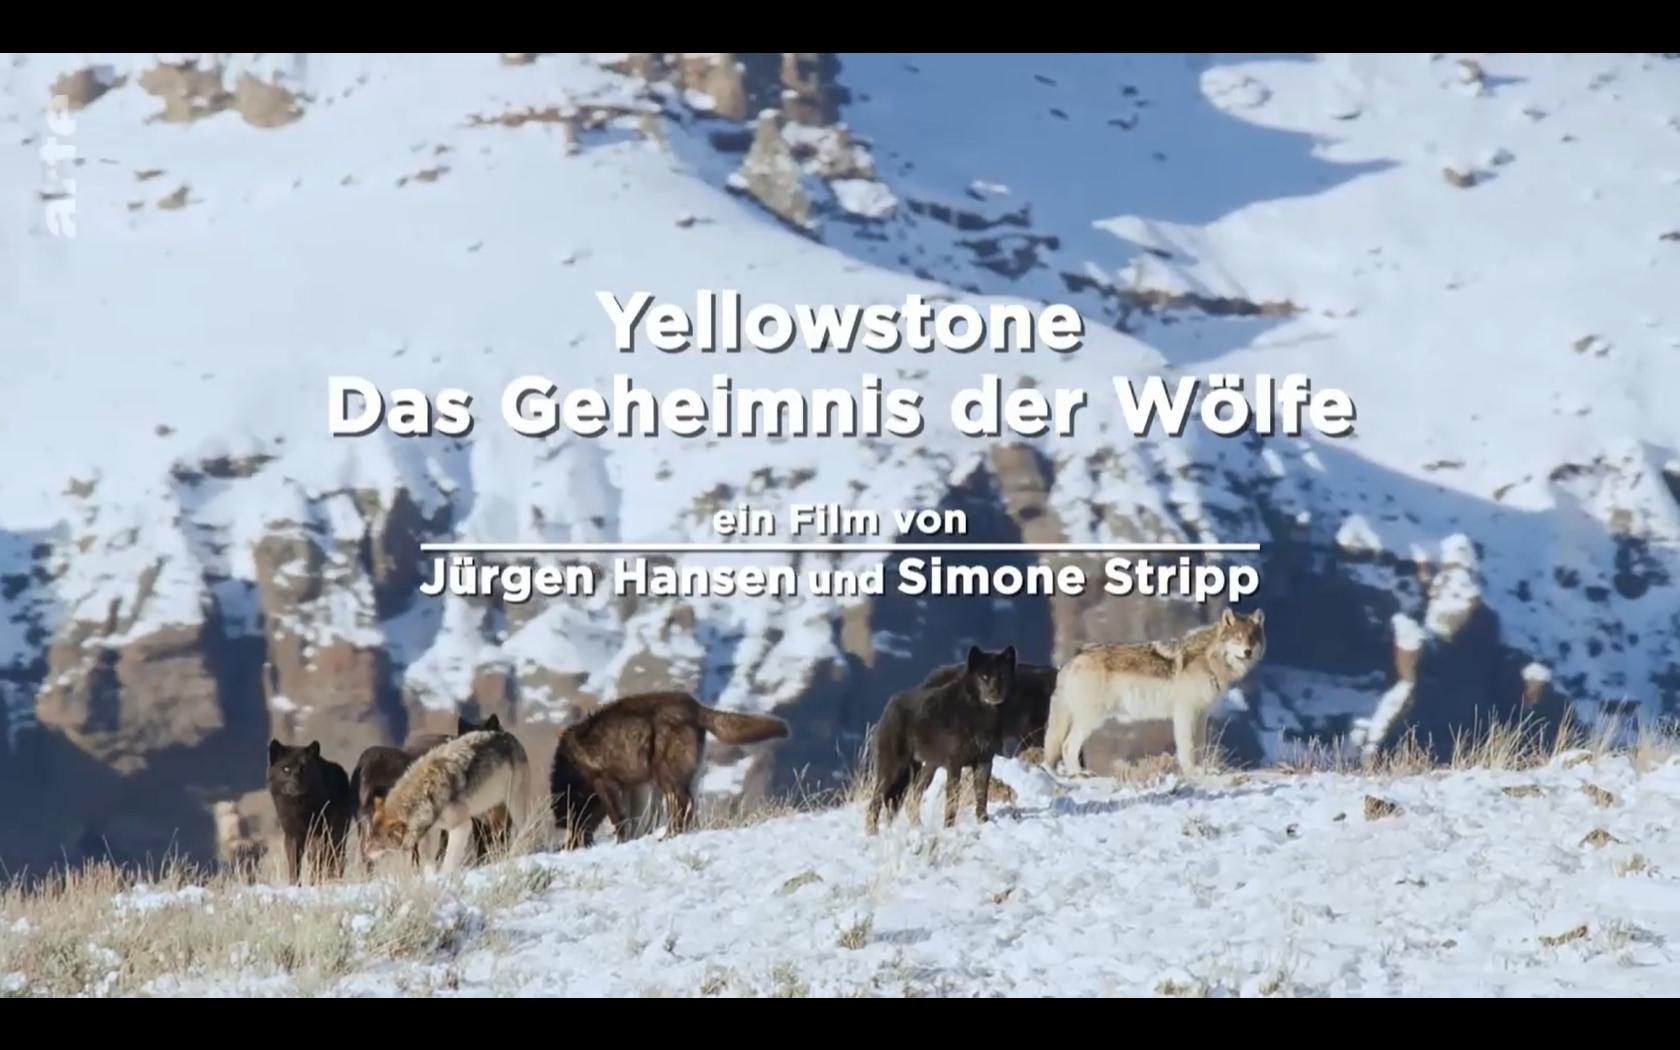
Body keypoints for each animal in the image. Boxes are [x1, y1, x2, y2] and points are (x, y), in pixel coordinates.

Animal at [266, 739, 354, 884]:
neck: (299, 809)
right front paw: (294, 885)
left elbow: (315, 863)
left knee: (334, 860)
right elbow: (294, 865)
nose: (296, 785)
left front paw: (314, 884)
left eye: (304, 768)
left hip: (336, 838)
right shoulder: (292, 836)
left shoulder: (317, 835)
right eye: (286, 769)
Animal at [363, 727, 532, 875]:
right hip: (486, 814)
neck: (425, 795)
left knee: (524, 828)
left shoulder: (461, 826)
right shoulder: (431, 832)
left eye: (378, 843)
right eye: (369, 836)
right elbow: (428, 861)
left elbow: (448, 861)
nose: (365, 852)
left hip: (513, 804)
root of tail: (509, 736)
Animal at [549, 692, 789, 848]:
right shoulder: (633, 786)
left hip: (667, 778)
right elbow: (633, 818)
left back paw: (668, 837)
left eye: (572, 823)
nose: (567, 847)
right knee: (689, 808)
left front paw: (622, 842)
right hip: (682, 778)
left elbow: (619, 818)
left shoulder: (604, 782)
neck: (571, 768)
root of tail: (694, 706)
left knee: (682, 807)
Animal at [865, 645, 1018, 835]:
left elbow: (982, 798)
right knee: (874, 802)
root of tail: (889, 705)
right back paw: (872, 834)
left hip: (925, 770)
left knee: (911, 801)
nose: (994, 693)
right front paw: (949, 829)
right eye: (984, 676)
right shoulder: (954, 765)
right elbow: (953, 802)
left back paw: (918, 828)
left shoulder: (984, 762)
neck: (978, 715)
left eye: (1002, 676)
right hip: (892, 771)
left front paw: (984, 824)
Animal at [1042, 608, 1266, 776]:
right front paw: (1191, 771)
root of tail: (1072, 659)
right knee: (1067, 746)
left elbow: (1199, 745)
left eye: (1252, 638)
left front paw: (1201, 769)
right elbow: (1187, 746)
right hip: (1092, 719)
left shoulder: (1201, 714)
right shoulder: (1185, 712)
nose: (1248, 652)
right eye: (1237, 638)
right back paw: (1079, 775)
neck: (1210, 659)